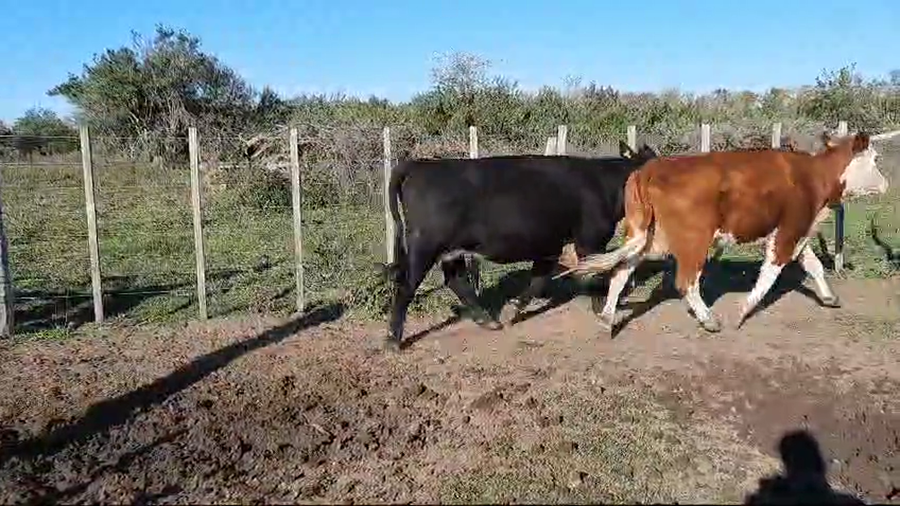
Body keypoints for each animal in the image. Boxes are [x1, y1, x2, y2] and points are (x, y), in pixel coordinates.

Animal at [384, 142, 659, 350]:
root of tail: (419, 165)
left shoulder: (550, 244)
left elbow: (538, 279)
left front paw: (515, 310)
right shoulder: (591, 239)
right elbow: (597, 273)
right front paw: (602, 308)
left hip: (451, 250)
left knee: (456, 280)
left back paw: (489, 321)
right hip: (424, 245)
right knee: (406, 285)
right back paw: (393, 340)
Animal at [557, 131, 887, 335]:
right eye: (874, 160)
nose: (886, 184)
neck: (812, 176)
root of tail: (650, 169)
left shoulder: (798, 233)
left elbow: (815, 266)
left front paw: (830, 298)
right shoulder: (788, 232)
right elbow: (770, 274)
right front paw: (743, 311)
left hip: (646, 236)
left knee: (621, 271)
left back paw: (607, 318)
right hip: (694, 241)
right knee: (686, 282)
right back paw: (708, 319)